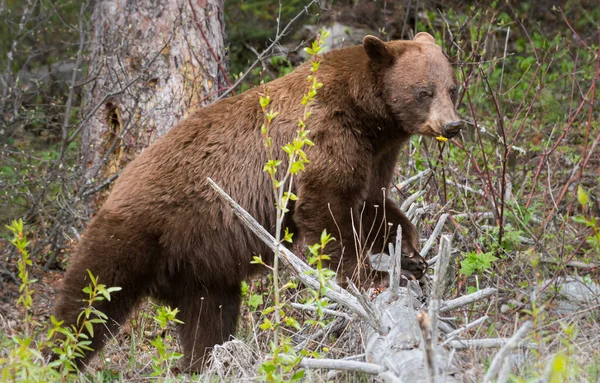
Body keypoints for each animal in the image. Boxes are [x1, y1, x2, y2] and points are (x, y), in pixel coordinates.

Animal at [54, 33, 462, 372]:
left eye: (452, 88)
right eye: (423, 91)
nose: (452, 125)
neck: (369, 117)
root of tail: (113, 190)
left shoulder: (377, 155)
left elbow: (372, 204)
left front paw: (410, 254)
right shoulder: (326, 135)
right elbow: (328, 209)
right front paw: (375, 274)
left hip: (200, 268)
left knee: (208, 317)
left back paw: (202, 362)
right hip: (133, 235)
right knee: (87, 303)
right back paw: (59, 358)